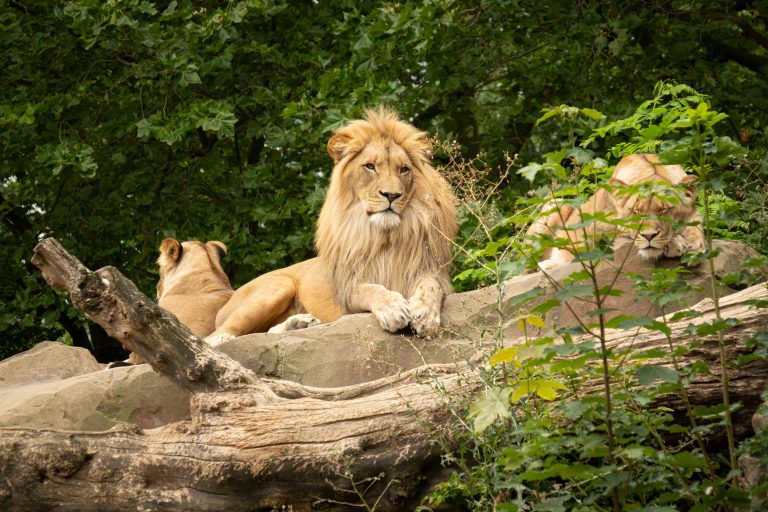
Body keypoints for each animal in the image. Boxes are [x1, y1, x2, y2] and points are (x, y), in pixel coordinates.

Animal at [207, 106, 456, 342]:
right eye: (370, 166)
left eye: (403, 169)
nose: (392, 195)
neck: (384, 236)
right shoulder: (347, 288)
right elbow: (369, 289)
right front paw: (393, 308)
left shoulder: (426, 268)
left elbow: (432, 285)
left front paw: (425, 315)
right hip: (277, 287)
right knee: (216, 337)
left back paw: (299, 324)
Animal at [528, 154, 704, 270]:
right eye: (636, 211)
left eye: (664, 210)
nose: (648, 236)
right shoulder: (597, 230)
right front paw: (676, 243)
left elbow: (696, 224)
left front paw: (695, 246)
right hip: (555, 205)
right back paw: (547, 265)